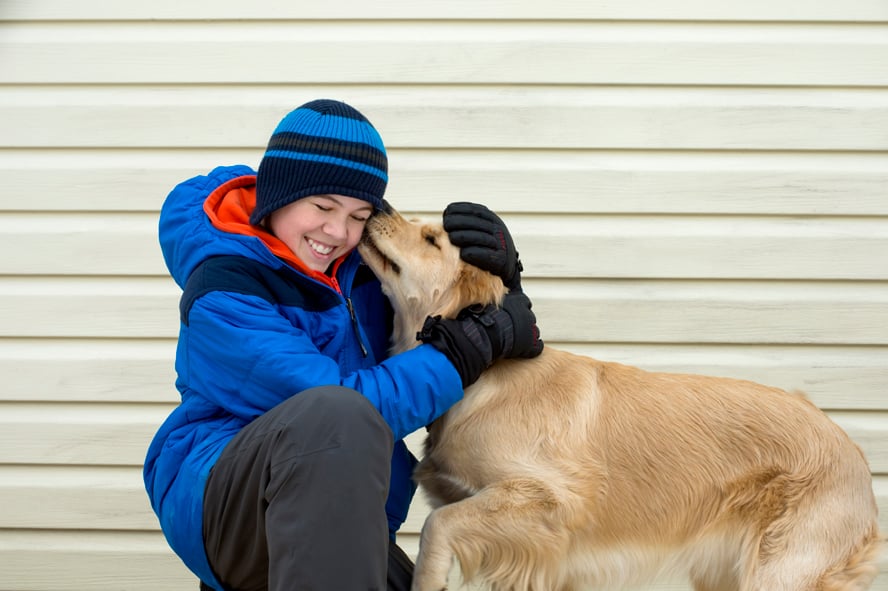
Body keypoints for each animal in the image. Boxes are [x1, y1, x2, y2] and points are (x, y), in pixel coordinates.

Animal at [356, 205, 880, 591]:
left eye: (430, 240)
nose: (377, 206)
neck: (484, 374)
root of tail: (851, 447)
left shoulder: (551, 502)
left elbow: (436, 525)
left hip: (782, 569)